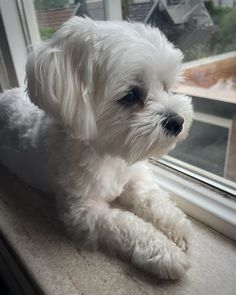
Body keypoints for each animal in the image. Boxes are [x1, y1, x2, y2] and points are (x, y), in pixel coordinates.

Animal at [0, 16, 194, 280]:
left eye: (165, 86)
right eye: (130, 95)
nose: (177, 121)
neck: (109, 156)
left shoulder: (135, 175)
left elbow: (151, 198)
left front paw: (176, 225)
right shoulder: (84, 211)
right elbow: (126, 224)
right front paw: (165, 252)